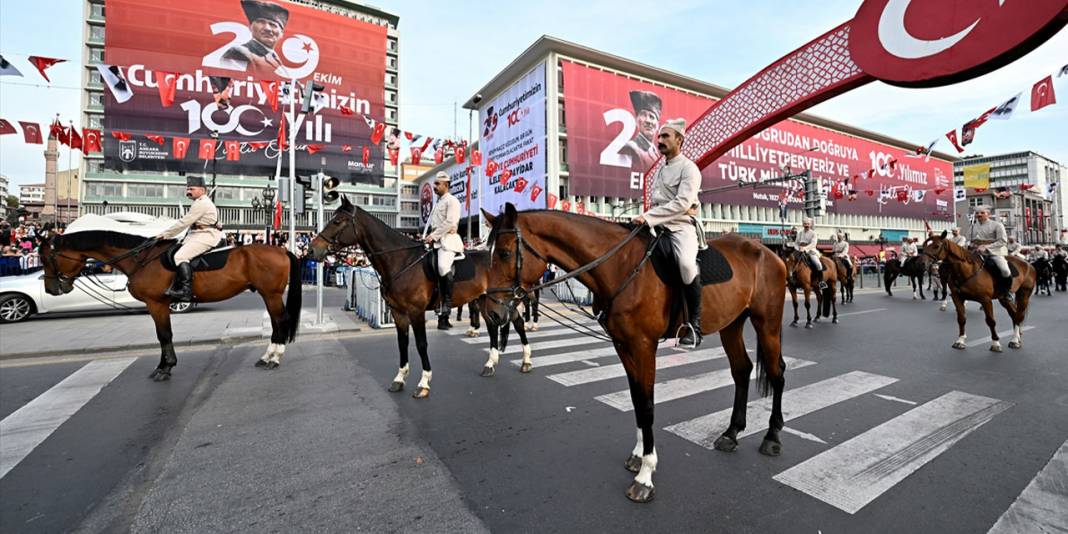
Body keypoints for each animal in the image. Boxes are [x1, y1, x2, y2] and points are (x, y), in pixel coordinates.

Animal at [40, 230, 301, 380]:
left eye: (47, 258)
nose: (51, 289)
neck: (141, 259)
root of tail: (281, 250)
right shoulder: (159, 305)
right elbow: (163, 336)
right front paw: (164, 365)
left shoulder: (157, 304)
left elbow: (164, 335)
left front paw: (165, 368)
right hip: (268, 294)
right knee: (276, 324)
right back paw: (267, 357)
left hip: (271, 294)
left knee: (281, 322)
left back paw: (274, 359)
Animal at [307, 196, 542, 397]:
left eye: (337, 221)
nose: (312, 250)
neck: (401, 260)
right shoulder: (398, 312)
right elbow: (402, 343)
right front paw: (399, 378)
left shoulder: (416, 311)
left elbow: (421, 344)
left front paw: (424, 382)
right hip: (487, 302)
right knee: (493, 326)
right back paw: (490, 364)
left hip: (502, 301)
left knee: (518, 322)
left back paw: (526, 360)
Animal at [482, 203, 786, 499]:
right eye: (490, 254)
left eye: (505, 253)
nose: (492, 313)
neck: (620, 266)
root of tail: (769, 252)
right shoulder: (623, 345)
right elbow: (637, 399)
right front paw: (639, 456)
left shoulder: (643, 345)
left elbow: (648, 404)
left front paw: (645, 476)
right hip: (731, 324)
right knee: (742, 370)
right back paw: (732, 433)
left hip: (767, 323)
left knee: (777, 373)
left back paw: (772, 437)